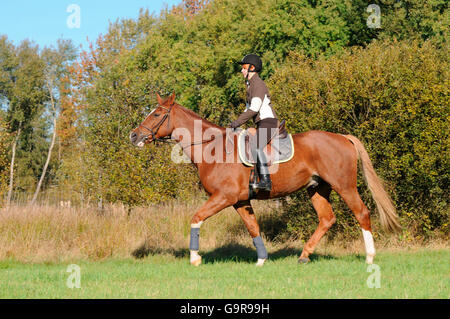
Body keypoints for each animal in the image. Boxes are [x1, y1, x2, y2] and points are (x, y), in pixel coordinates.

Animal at [130, 92, 400, 268]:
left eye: (157, 113)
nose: (134, 135)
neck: (213, 148)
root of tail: (343, 137)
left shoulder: (224, 197)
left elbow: (196, 218)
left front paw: (195, 258)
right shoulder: (239, 201)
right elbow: (253, 227)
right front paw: (261, 259)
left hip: (344, 185)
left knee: (362, 213)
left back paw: (370, 257)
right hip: (317, 188)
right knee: (327, 218)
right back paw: (304, 255)